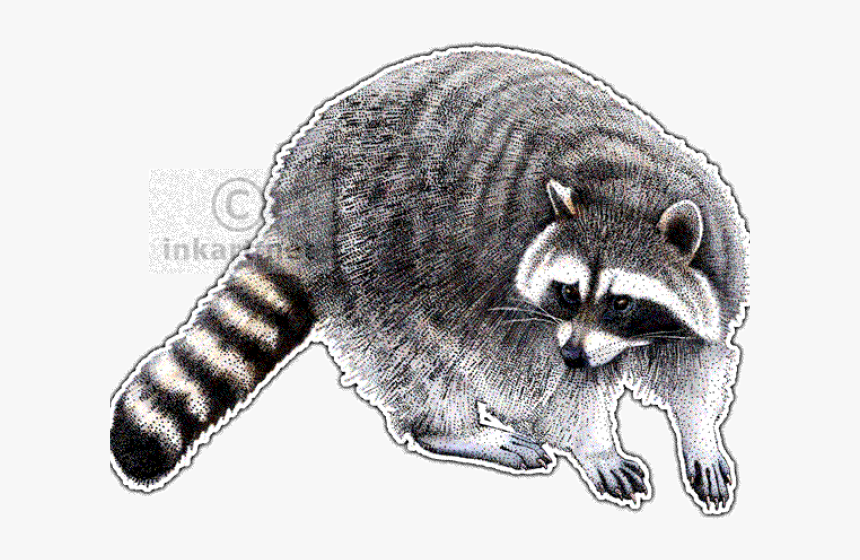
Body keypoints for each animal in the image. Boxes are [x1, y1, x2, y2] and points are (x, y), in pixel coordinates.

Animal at [110, 46, 749, 513]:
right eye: (568, 292)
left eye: (620, 302)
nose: (573, 353)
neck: (628, 189)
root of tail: (303, 183)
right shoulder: (515, 302)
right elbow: (546, 387)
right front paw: (595, 444)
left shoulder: (718, 267)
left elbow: (696, 364)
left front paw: (699, 434)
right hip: (374, 261)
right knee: (415, 361)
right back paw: (451, 429)